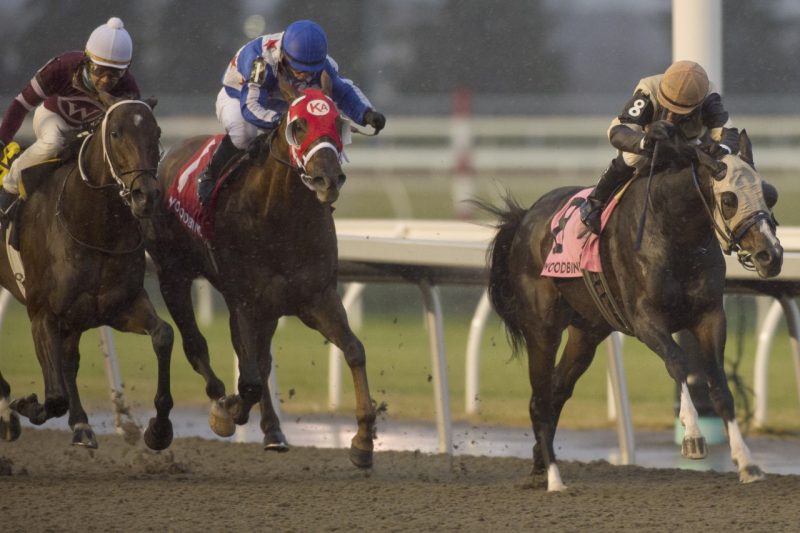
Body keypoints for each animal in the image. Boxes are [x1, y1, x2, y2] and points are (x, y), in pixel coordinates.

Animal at [0, 95, 174, 448]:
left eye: (157, 132)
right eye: (116, 133)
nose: (145, 196)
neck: (94, 228)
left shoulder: (118, 306)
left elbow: (163, 335)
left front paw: (158, 430)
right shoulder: (42, 314)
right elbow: (55, 397)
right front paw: (24, 405)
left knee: (70, 361)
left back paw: (79, 423)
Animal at [145, 78, 378, 466]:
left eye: (337, 123)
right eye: (298, 125)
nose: (328, 179)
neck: (280, 216)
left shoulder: (315, 297)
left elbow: (354, 350)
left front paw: (363, 440)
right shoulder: (244, 300)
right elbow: (249, 379)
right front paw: (228, 411)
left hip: (267, 309)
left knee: (261, 361)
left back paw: (273, 431)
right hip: (172, 273)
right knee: (197, 345)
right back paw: (210, 407)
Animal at [476, 132, 780, 490]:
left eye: (770, 194)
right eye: (730, 199)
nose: (771, 255)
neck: (674, 229)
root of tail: (524, 217)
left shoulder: (709, 315)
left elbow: (719, 384)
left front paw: (747, 462)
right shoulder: (645, 318)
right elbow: (677, 362)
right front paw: (692, 437)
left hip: (586, 333)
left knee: (557, 391)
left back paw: (540, 464)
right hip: (542, 329)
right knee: (540, 399)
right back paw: (554, 479)